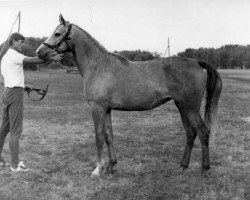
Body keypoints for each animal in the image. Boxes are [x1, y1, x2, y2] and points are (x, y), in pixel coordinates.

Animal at [36, 14, 221, 177]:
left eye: (57, 33)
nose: (39, 52)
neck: (97, 65)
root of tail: (197, 62)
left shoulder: (97, 108)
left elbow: (98, 136)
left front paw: (98, 169)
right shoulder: (107, 109)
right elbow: (108, 135)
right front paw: (111, 166)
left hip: (191, 108)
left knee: (203, 132)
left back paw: (204, 169)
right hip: (181, 106)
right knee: (190, 133)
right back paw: (182, 167)